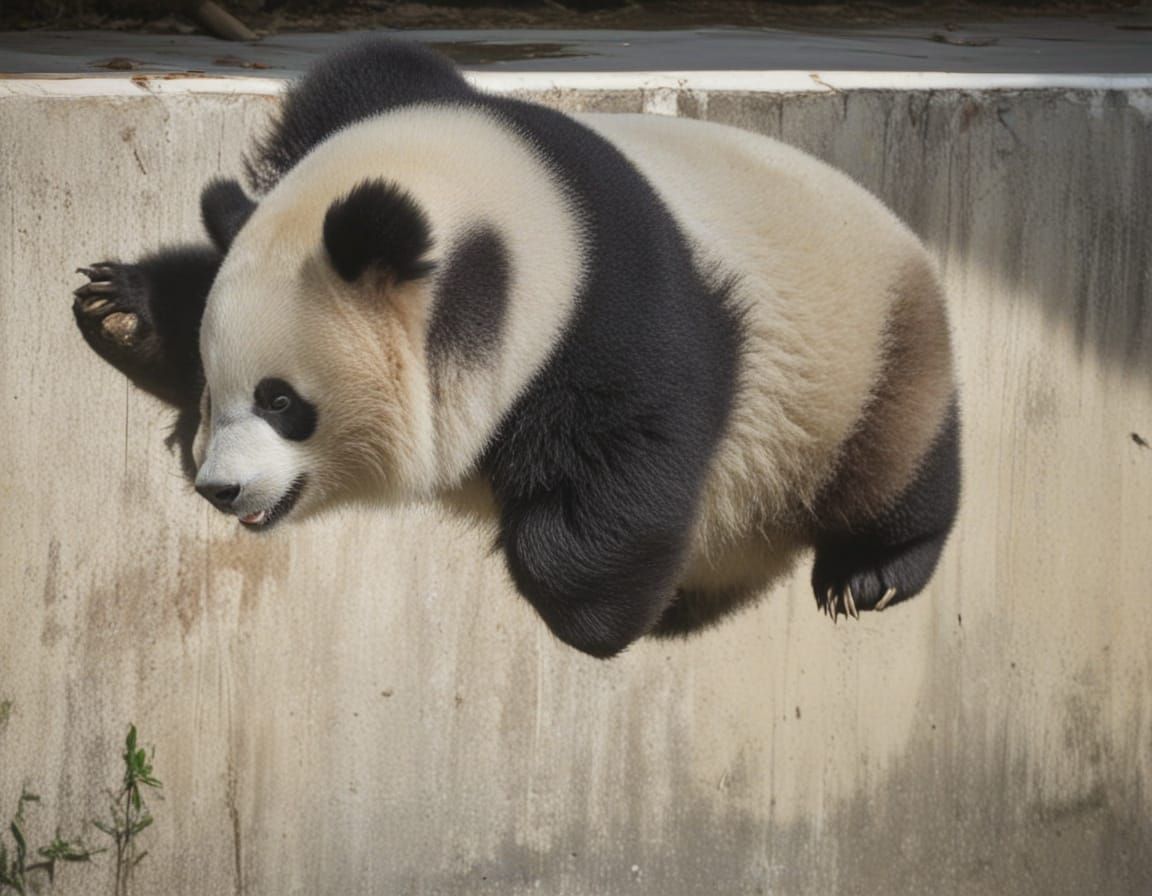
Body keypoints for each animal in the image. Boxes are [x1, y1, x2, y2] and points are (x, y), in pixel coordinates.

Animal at [72, 38, 960, 659]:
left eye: (282, 402)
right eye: (215, 393)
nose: (219, 489)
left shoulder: (617, 321)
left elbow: (630, 460)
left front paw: (594, 612)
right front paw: (125, 307)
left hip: (860, 362)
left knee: (893, 464)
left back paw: (873, 573)